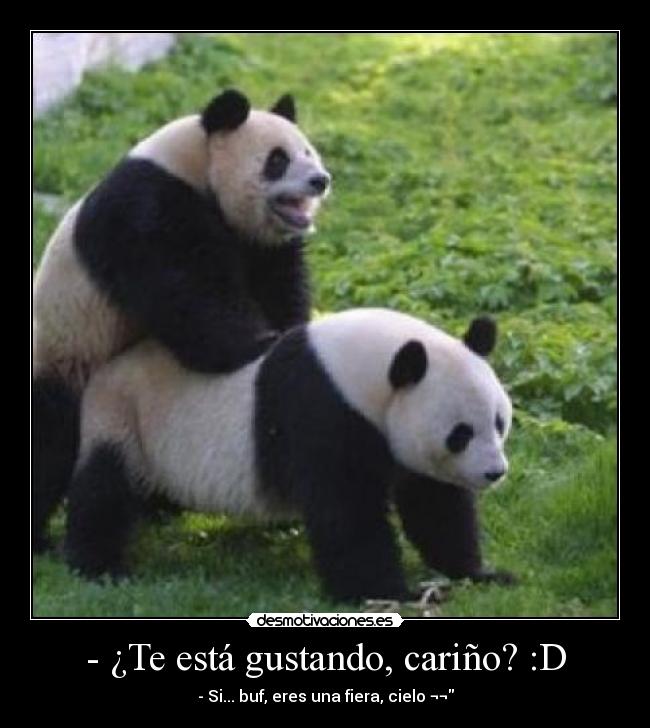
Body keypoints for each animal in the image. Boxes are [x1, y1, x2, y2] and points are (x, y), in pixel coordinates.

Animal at [33, 89, 330, 552]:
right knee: (49, 440)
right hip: (63, 356)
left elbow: (277, 288)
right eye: (277, 160)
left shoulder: (263, 245)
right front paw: (260, 342)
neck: (193, 163)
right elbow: (189, 298)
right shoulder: (148, 210)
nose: (320, 180)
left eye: (308, 151)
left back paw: (157, 507)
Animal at [63, 308, 514, 603]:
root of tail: (109, 365)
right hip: (123, 416)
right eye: (460, 435)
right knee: (104, 489)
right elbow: (346, 510)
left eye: (499, 422)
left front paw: (480, 573)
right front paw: (386, 592)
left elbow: (433, 504)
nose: (495, 472)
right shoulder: (321, 409)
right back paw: (100, 568)